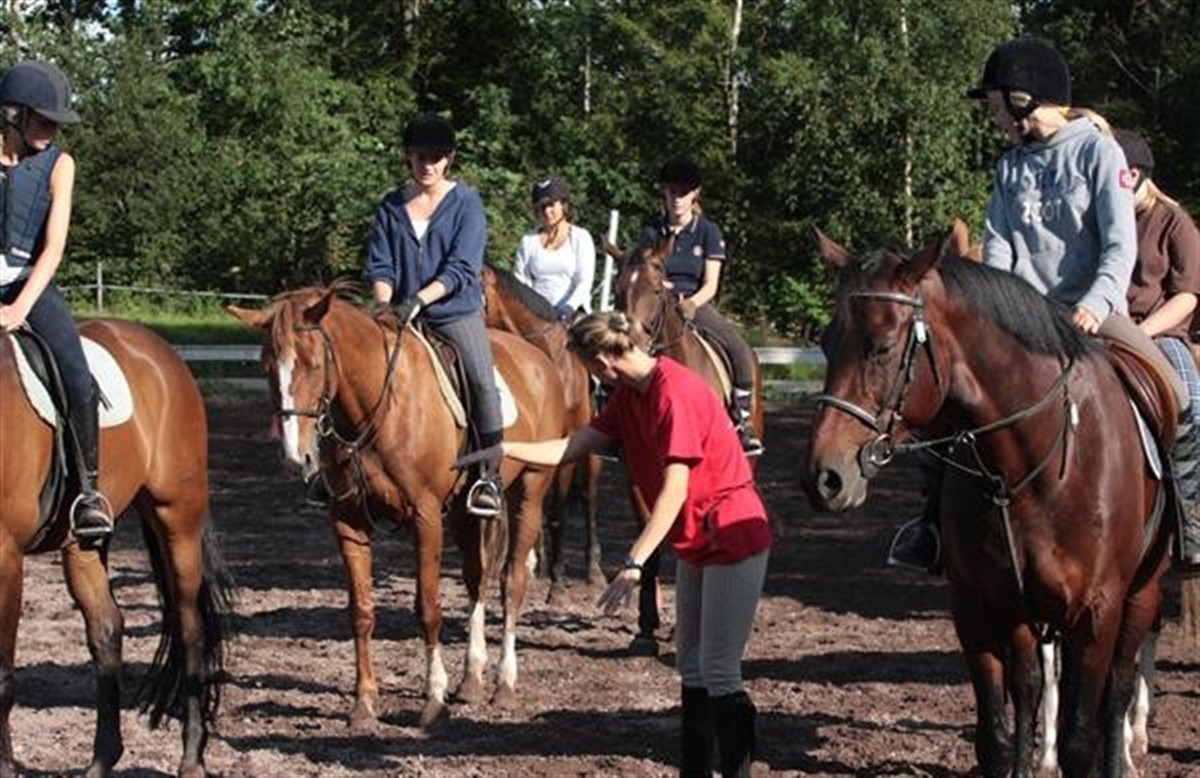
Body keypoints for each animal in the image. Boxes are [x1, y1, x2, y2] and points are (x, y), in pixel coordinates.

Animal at [0, 319, 233, 778]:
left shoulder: (5, 554)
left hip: (176, 516)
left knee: (190, 628)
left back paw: (192, 758)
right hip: (82, 543)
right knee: (107, 628)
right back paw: (102, 760)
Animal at [228, 283, 565, 730]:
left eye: (314, 365)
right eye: (267, 366)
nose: (296, 458)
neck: (377, 404)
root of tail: (536, 357)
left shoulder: (425, 517)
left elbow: (428, 607)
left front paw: (433, 699)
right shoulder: (348, 520)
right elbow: (361, 611)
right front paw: (364, 704)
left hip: (529, 491)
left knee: (512, 581)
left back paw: (503, 684)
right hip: (465, 512)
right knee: (477, 579)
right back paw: (471, 680)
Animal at [480, 263, 605, 596]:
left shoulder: (564, 447)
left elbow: (558, 509)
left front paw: (557, 580)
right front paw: (530, 563)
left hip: (590, 454)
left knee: (588, 497)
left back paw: (593, 570)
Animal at [610, 238, 765, 650]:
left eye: (655, 287)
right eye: (616, 290)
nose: (633, 344)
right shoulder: (636, 476)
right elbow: (651, 541)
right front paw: (646, 628)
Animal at [804, 230, 1174, 777]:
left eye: (883, 346)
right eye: (827, 344)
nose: (824, 478)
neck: (1032, 469)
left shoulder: (1098, 612)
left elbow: (1081, 736)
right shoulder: (979, 607)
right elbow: (998, 734)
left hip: (1141, 594)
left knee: (1119, 688)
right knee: (1032, 688)